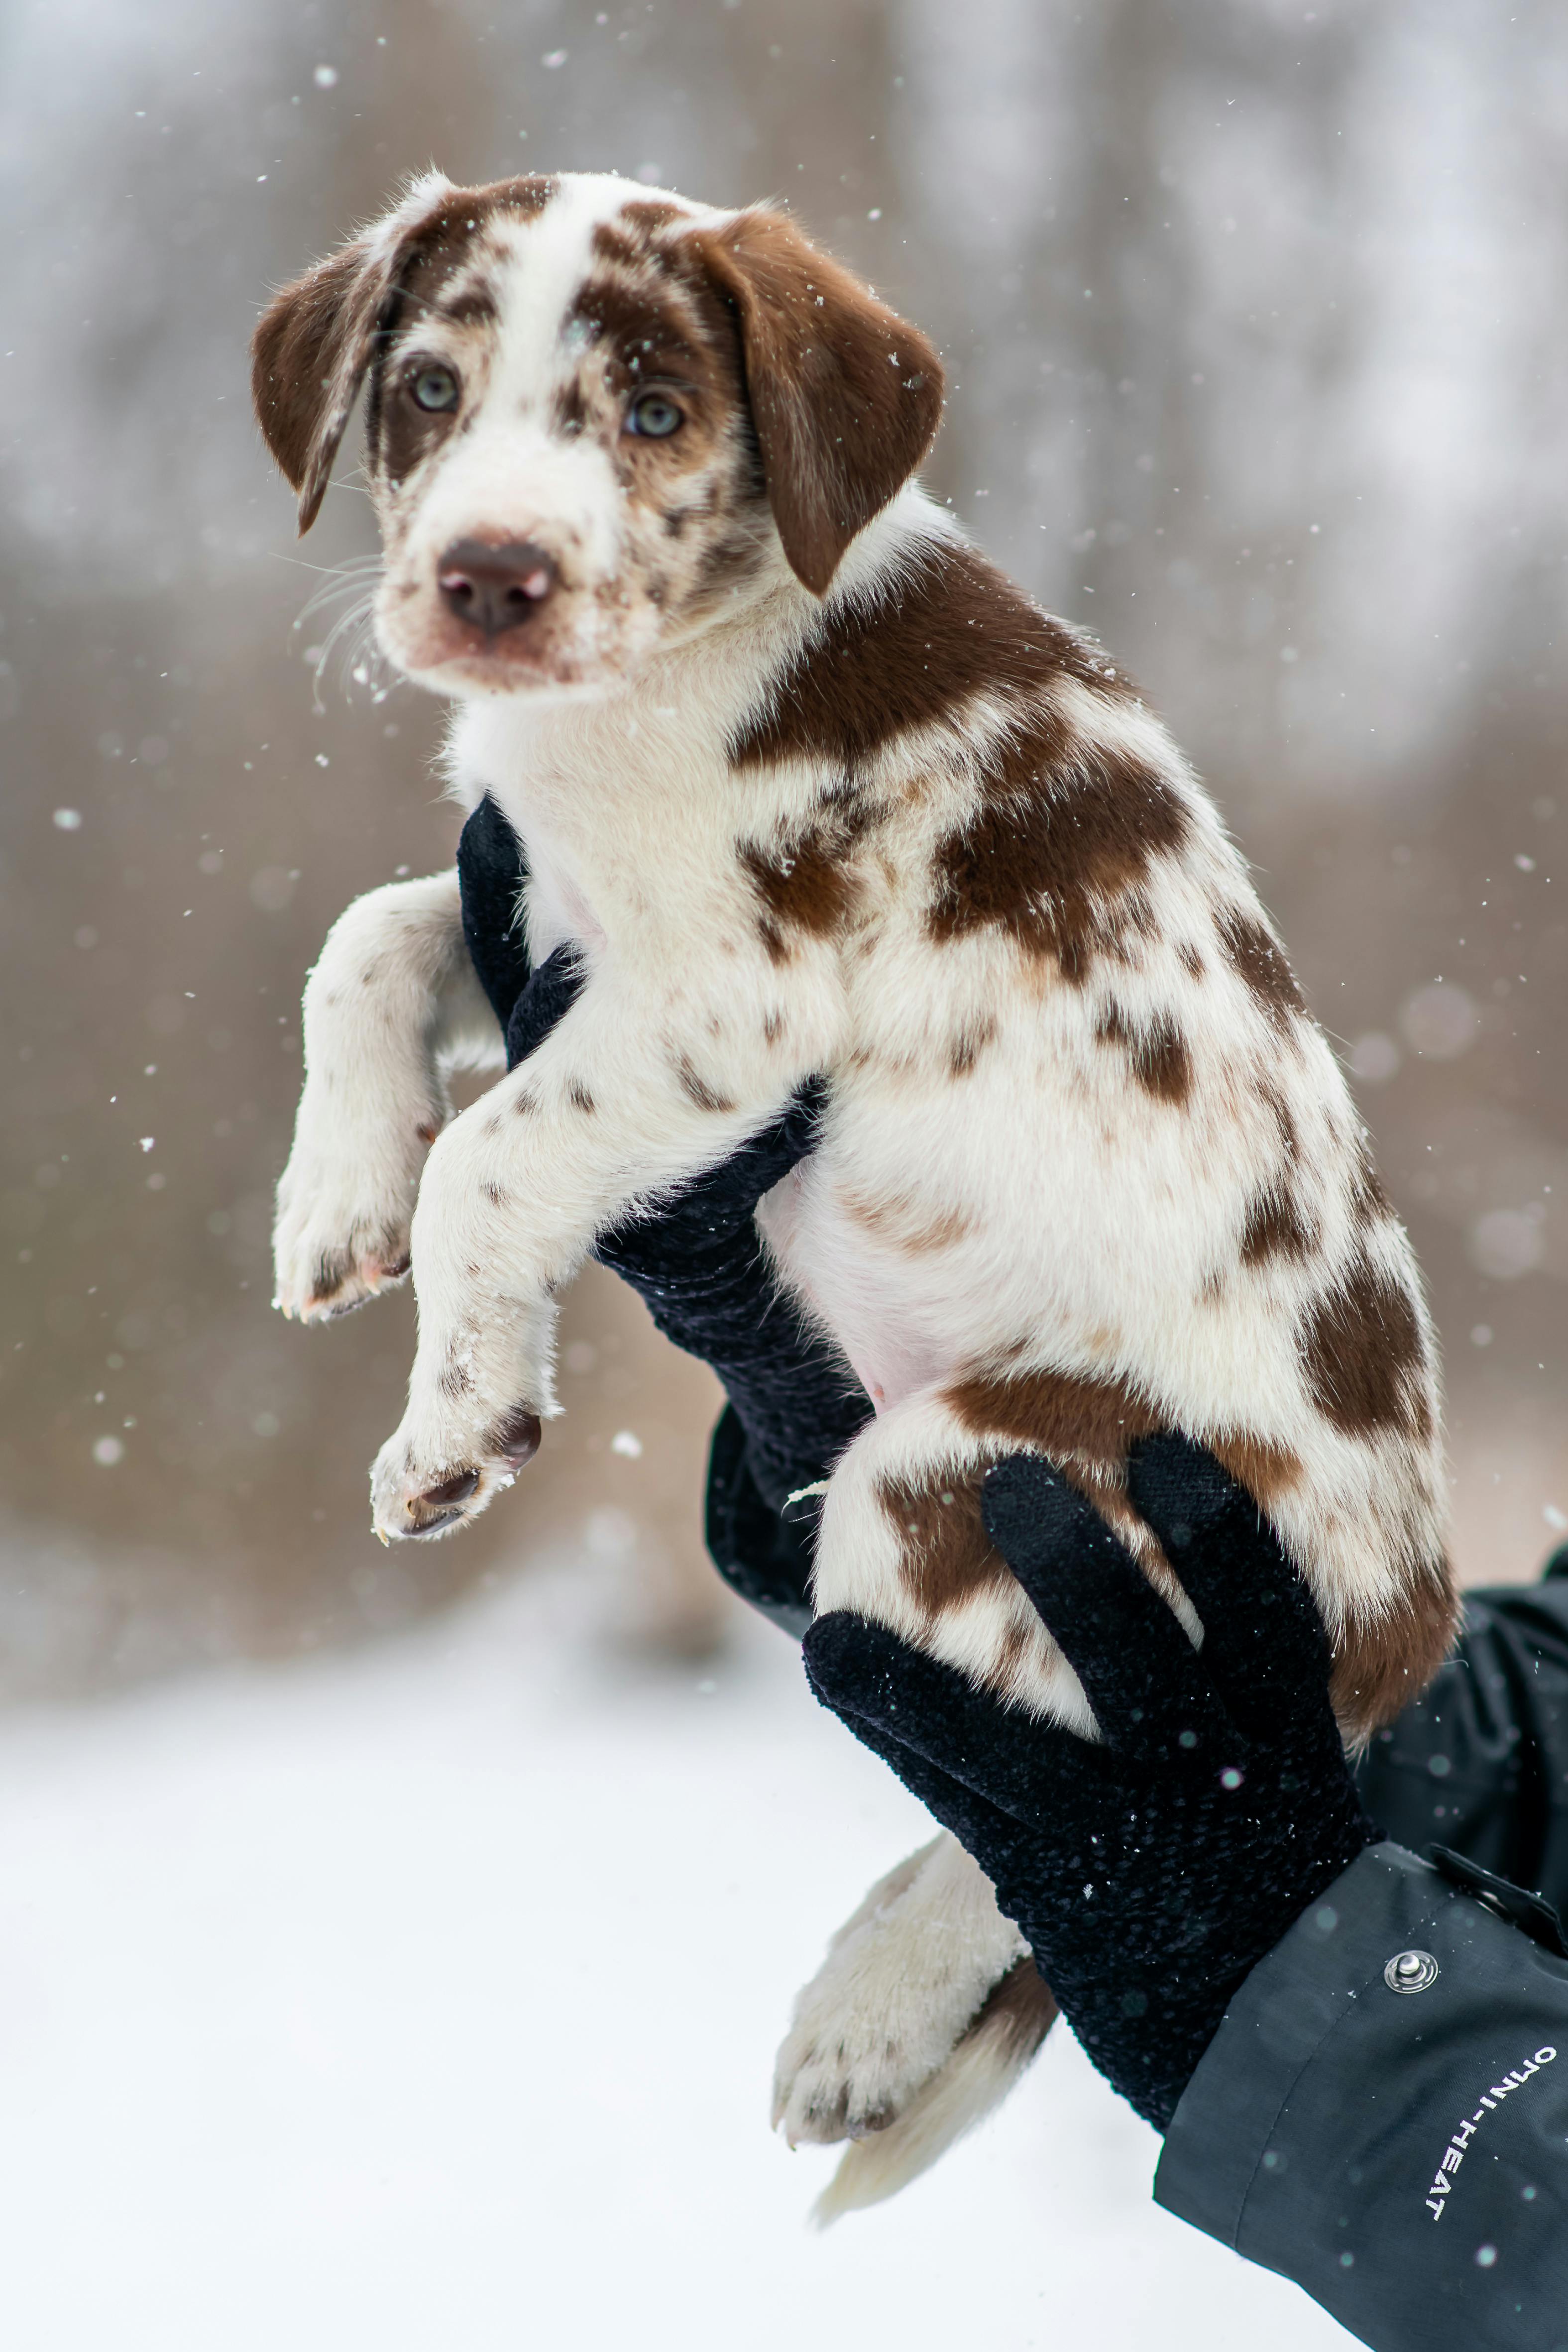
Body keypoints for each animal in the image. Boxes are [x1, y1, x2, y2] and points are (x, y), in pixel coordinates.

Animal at [255, 170, 1457, 2220]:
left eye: (655, 413)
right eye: (425, 389)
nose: (489, 577)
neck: (643, 692)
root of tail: (1403, 1627)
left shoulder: (720, 1005)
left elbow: (491, 1158)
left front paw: (456, 1417)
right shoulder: (541, 916)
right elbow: (376, 936)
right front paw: (338, 1192)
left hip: (966, 1481)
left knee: (1060, 1828)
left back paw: (876, 2006)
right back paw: (854, 2009)